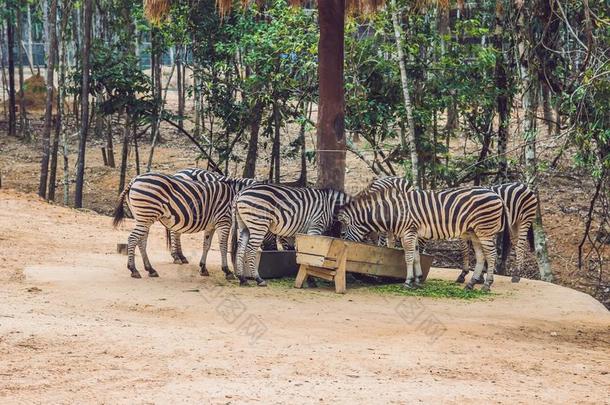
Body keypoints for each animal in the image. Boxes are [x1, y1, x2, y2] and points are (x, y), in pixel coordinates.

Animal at [113, 172, 241, 280]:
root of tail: (135, 179)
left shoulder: (212, 225)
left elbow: (206, 245)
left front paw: (203, 268)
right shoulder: (224, 221)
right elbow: (223, 246)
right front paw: (227, 271)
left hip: (143, 218)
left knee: (141, 241)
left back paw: (150, 269)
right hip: (146, 215)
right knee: (132, 238)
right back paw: (133, 269)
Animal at [338, 186, 508, 290]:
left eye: (343, 234)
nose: (348, 245)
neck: (394, 212)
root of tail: (496, 195)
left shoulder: (408, 232)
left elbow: (408, 257)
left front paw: (408, 282)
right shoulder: (411, 234)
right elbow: (416, 257)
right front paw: (418, 280)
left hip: (485, 230)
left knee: (491, 255)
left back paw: (487, 285)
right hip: (475, 232)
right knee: (481, 256)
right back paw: (471, 284)